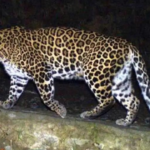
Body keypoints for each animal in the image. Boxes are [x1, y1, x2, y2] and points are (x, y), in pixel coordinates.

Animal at [0, 26, 150, 126]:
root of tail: (127, 44)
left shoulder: (41, 71)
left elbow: (46, 97)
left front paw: (60, 110)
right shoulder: (19, 77)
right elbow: (13, 92)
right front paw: (7, 104)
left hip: (95, 73)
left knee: (109, 100)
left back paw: (89, 114)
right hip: (120, 80)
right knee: (133, 101)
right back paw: (126, 122)